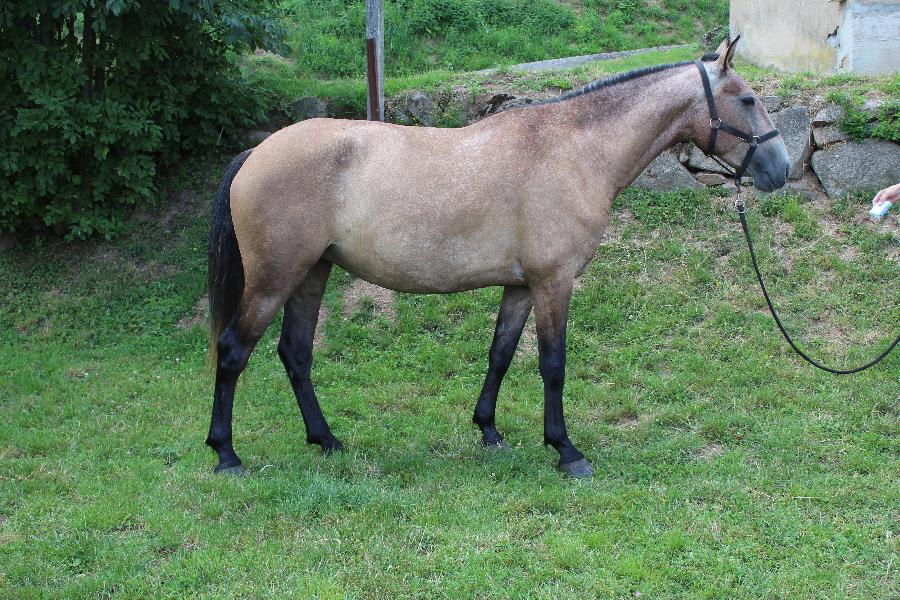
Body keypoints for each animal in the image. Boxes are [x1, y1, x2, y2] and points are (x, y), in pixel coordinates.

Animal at [206, 38, 788, 478]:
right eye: (749, 100)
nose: (781, 170)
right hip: (274, 280)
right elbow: (552, 364)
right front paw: (566, 451)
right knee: (234, 351)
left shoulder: (522, 285)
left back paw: (326, 440)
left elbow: (501, 354)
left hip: (312, 273)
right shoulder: (554, 282)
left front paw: (488, 430)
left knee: (296, 354)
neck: (573, 150)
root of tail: (257, 153)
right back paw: (226, 454)